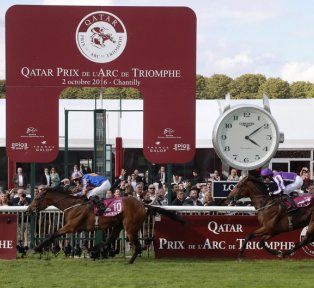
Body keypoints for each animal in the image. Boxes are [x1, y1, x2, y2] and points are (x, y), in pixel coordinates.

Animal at [26, 186, 184, 264]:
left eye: (37, 198)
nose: (28, 210)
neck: (73, 205)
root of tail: (142, 204)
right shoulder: (77, 228)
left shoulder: (71, 227)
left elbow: (52, 234)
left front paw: (35, 248)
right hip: (119, 224)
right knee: (110, 239)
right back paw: (94, 250)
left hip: (130, 227)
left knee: (137, 245)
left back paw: (129, 261)